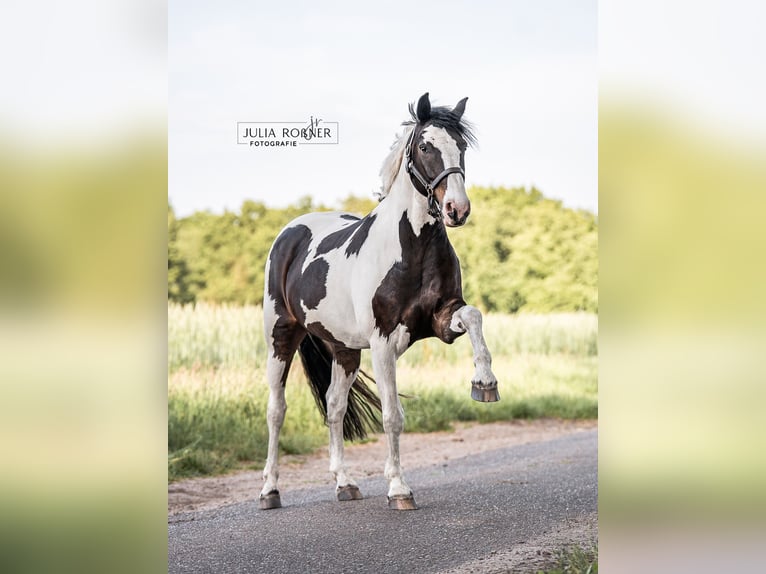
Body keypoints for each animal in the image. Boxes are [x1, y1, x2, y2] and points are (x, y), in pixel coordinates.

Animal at [259, 93, 499, 511]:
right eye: (425, 146)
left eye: (462, 146)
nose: (457, 210)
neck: (411, 248)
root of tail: (291, 231)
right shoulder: (384, 341)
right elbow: (392, 416)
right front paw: (399, 489)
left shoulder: (442, 319)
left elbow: (474, 316)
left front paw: (484, 382)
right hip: (281, 335)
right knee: (277, 410)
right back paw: (270, 491)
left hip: (344, 350)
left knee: (335, 407)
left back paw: (345, 484)